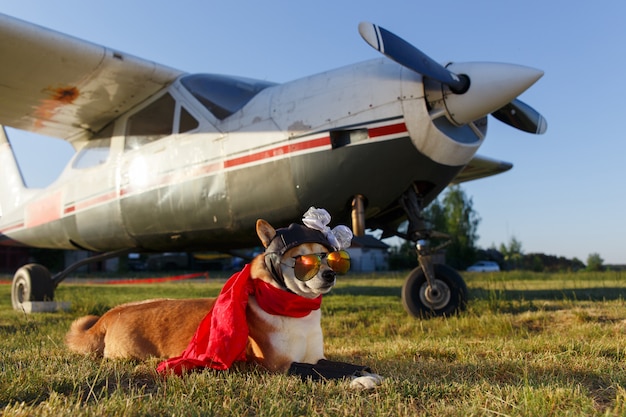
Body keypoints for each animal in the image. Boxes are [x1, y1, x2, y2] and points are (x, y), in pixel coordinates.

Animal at [67, 210, 380, 388]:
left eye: (330, 257)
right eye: (304, 260)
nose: (329, 275)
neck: (296, 311)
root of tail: (110, 315)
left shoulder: (316, 356)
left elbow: (333, 366)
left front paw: (361, 372)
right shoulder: (277, 366)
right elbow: (319, 374)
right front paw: (361, 380)